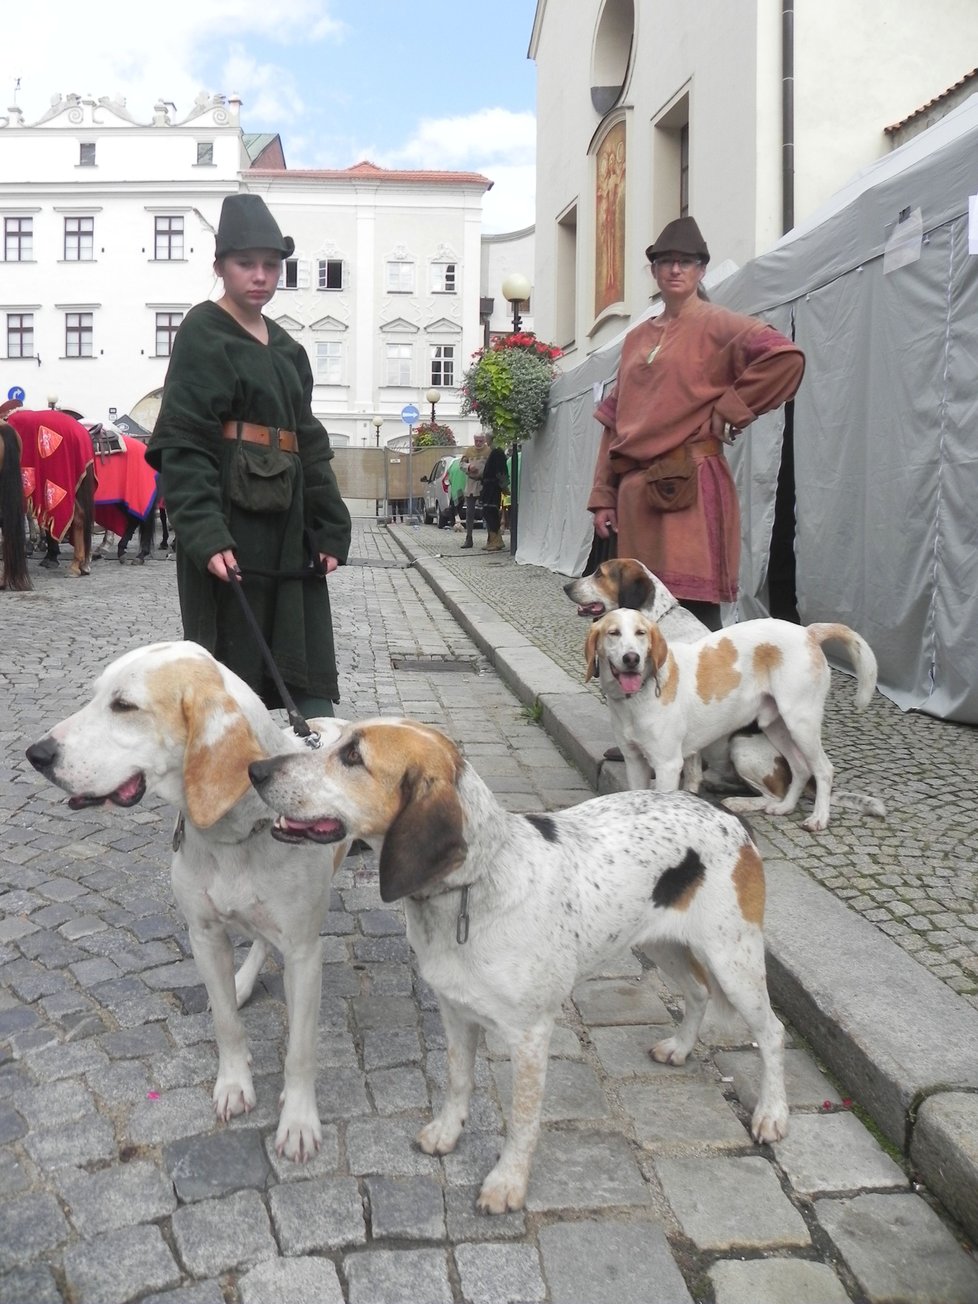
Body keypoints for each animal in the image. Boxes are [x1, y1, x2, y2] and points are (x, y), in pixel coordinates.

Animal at [27, 641, 352, 1163]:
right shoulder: (204, 937)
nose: (35, 754)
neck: (235, 835)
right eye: (95, 695)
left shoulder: (305, 954)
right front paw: (234, 1085)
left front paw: (299, 1120)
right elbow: (225, 1024)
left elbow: (300, 1052)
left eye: (124, 706)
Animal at [249, 719, 792, 1204]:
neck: (472, 886)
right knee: (698, 992)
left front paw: (508, 1183)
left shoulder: (531, 1036)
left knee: (771, 1031)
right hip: (662, 943)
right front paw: (448, 1132)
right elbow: (458, 1079)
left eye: (352, 757)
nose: (256, 769)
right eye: (331, 739)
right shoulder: (455, 1012)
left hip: (734, 959)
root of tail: (726, 815)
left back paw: (772, 1114)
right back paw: (679, 1049)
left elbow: (524, 1118)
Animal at [589, 612, 881, 834]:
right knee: (800, 769)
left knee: (823, 770)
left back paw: (814, 817)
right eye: (613, 633)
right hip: (776, 727)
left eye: (641, 633)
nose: (632, 659)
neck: (638, 696)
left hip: (795, 725)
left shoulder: (667, 765)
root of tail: (807, 632)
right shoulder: (634, 760)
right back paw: (784, 807)